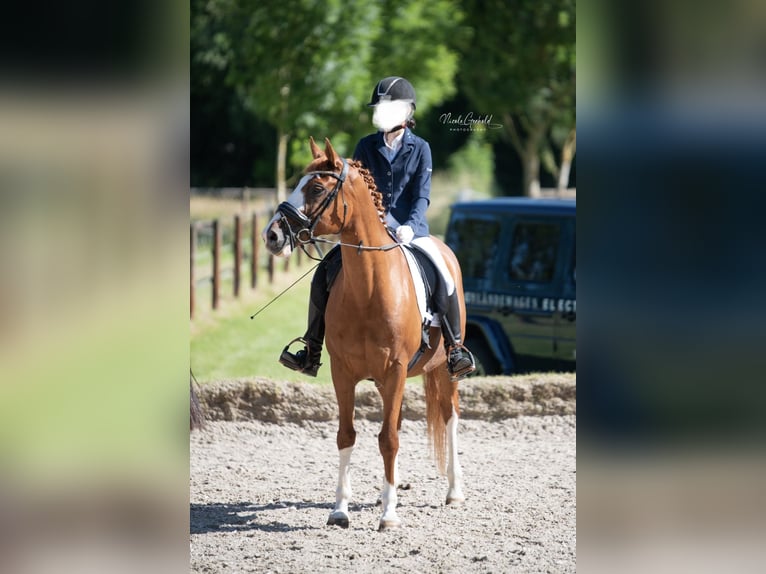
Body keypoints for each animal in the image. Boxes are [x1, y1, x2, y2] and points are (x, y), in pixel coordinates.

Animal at [263, 137, 466, 530]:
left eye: (316, 188)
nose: (272, 235)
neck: (370, 287)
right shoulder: (343, 372)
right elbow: (347, 434)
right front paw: (340, 509)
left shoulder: (396, 368)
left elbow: (388, 439)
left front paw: (389, 516)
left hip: (443, 368)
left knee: (449, 418)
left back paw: (453, 492)